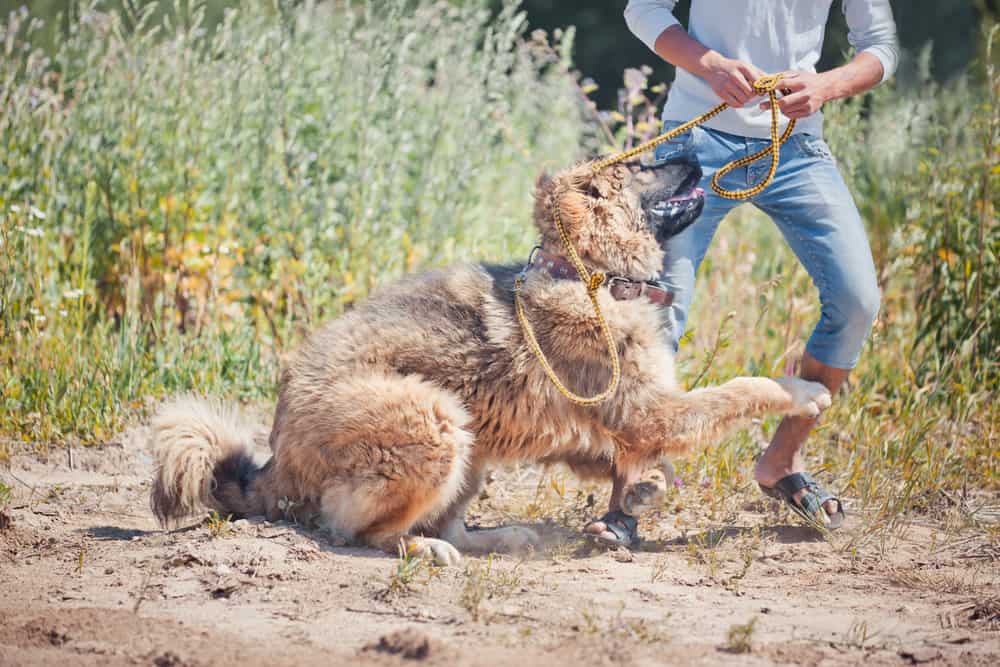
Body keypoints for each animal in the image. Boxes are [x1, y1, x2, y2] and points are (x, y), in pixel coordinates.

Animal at [150, 157, 828, 564]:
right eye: (641, 164)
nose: (697, 155)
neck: (592, 276)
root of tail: (276, 460)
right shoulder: (650, 410)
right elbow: (743, 388)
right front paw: (802, 391)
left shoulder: (617, 419)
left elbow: (628, 458)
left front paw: (644, 487)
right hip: (435, 418)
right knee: (358, 532)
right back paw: (423, 551)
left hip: (470, 443)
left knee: (446, 523)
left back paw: (500, 537)